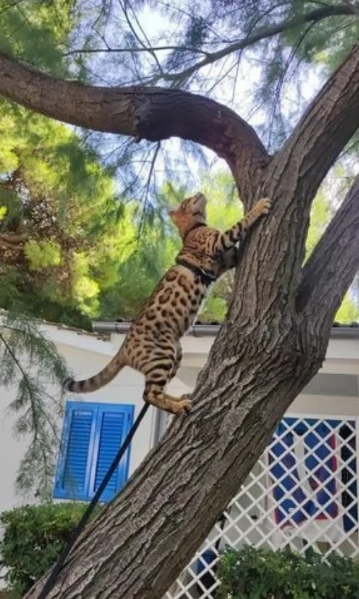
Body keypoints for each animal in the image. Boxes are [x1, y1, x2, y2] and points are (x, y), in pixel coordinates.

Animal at [63, 195, 272, 414]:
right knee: (149, 394)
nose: (199, 193)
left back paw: (178, 399)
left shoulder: (229, 259)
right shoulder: (216, 242)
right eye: (187, 200)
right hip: (162, 354)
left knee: (157, 391)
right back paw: (178, 406)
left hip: (176, 354)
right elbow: (239, 224)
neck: (191, 229)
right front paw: (259, 206)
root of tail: (123, 349)